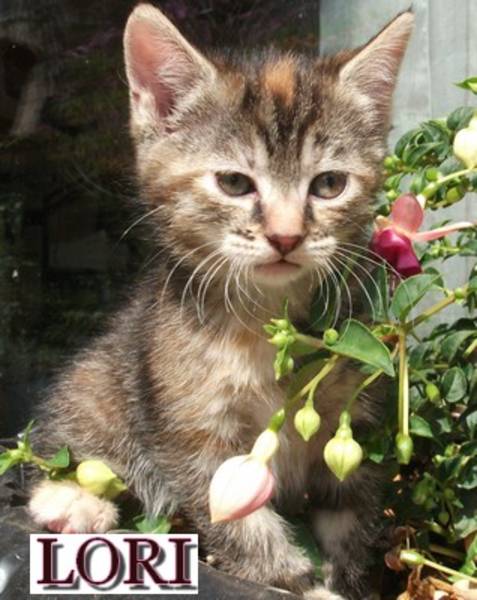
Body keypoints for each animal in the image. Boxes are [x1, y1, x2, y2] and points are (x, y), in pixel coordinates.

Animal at [27, 5, 412, 600]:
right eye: (234, 182)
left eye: (328, 184)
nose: (285, 236)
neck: (268, 320)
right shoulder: (193, 430)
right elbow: (242, 526)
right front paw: (294, 580)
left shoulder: (357, 419)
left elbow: (350, 516)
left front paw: (343, 580)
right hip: (110, 372)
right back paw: (69, 499)